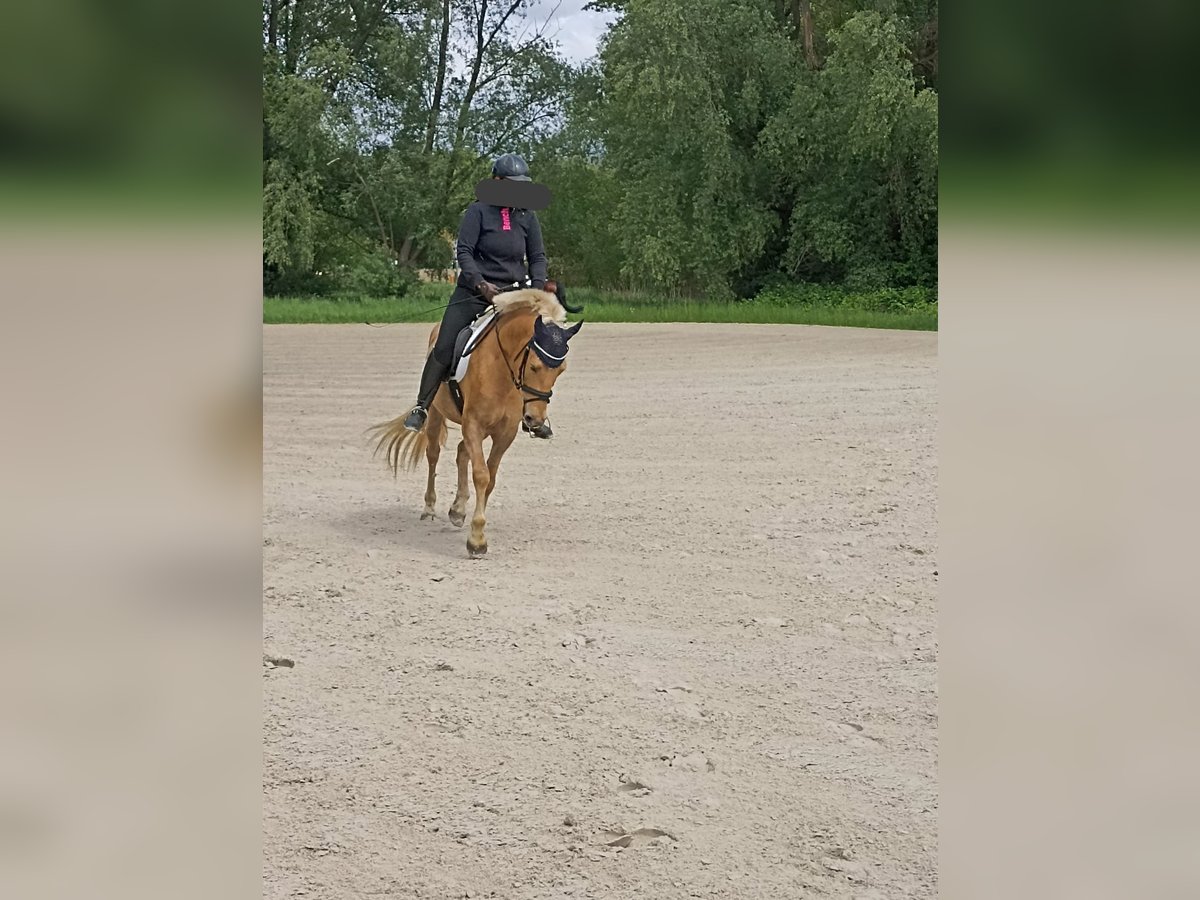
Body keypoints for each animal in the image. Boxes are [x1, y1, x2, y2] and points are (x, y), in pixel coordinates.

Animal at [369, 289, 585, 556]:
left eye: (561, 370)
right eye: (534, 367)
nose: (534, 419)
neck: (502, 370)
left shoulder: (504, 433)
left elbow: (490, 477)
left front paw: (471, 523)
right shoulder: (473, 424)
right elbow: (481, 475)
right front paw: (477, 540)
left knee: (462, 451)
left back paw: (458, 510)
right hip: (437, 414)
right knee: (433, 454)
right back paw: (429, 507)